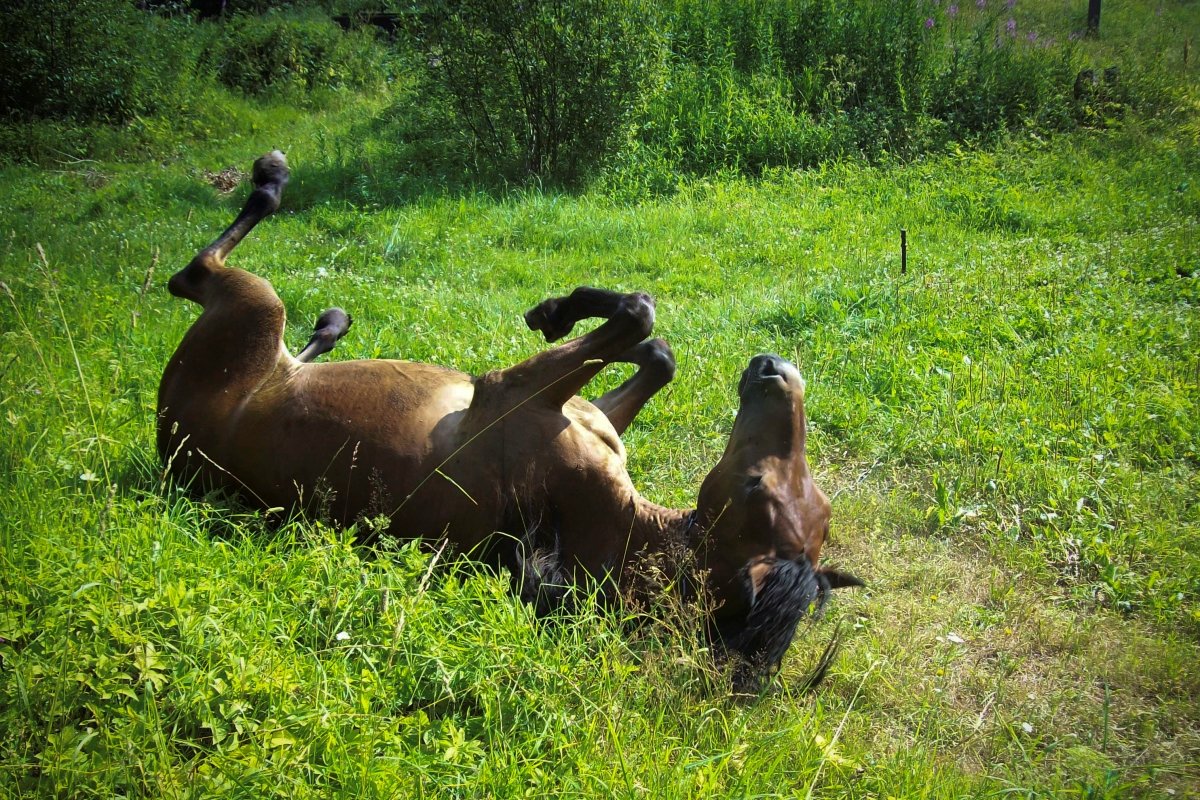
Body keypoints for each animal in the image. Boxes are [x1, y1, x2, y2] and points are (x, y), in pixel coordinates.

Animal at [159, 153, 864, 686]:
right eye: (777, 489)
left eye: (754, 487)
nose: (773, 369)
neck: (607, 520)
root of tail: (172, 447)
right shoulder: (584, 413)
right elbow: (654, 346)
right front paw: (568, 313)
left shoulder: (513, 391)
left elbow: (637, 314)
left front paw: (553, 310)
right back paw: (330, 321)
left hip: (251, 307)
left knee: (193, 273)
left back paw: (272, 182)